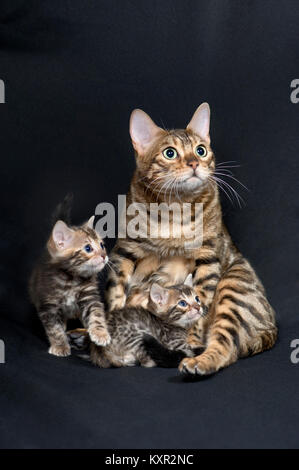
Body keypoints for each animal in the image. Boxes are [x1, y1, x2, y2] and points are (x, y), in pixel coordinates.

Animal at [29, 202, 110, 356]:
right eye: (88, 248)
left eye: (102, 245)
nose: (104, 256)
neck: (71, 280)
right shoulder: (48, 305)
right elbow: (55, 328)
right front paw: (60, 345)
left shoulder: (89, 297)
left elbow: (96, 314)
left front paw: (100, 333)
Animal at [69, 274, 207, 370]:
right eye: (182, 303)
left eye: (197, 298)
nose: (198, 307)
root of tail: (99, 349)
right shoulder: (175, 344)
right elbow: (191, 349)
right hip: (138, 335)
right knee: (146, 362)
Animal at [106, 102, 278, 374]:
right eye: (170, 153)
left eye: (201, 150)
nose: (194, 162)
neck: (175, 210)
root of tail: (271, 327)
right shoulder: (124, 251)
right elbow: (115, 296)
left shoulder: (207, 258)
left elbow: (200, 305)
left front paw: (189, 339)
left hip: (234, 284)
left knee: (226, 348)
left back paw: (198, 361)